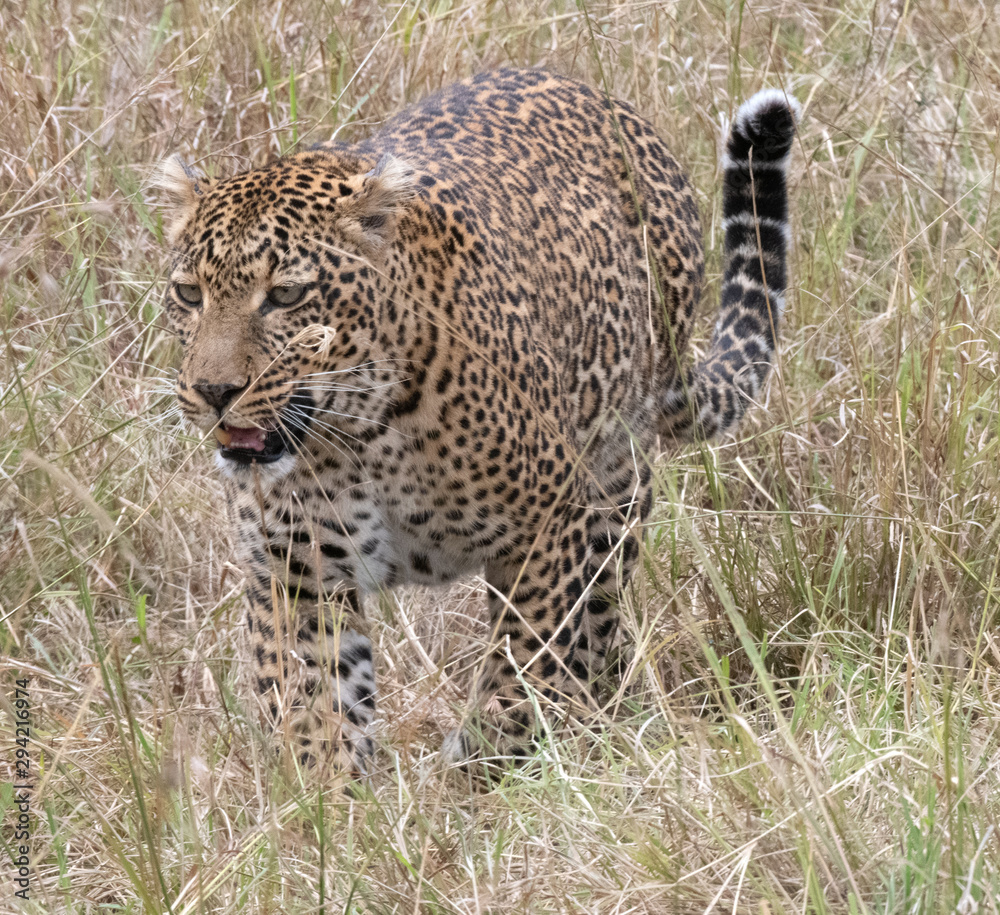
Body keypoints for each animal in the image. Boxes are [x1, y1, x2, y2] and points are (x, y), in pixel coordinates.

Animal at [160, 67, 800, 775]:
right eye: (188, 294)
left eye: (287, 296)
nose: (214, 391)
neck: (358, 433)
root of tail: (594, 93)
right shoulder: (295, 575)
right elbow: (317, 711)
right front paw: (336, 799)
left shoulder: (548, 529)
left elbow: (519, 673)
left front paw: (486, 777)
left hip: (616, 482)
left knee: (598, 621)